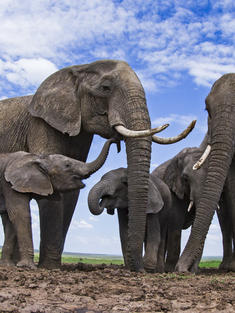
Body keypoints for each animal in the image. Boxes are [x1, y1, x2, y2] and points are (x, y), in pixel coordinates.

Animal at [0, 139, 116, 268]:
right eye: (67, 165)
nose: (115, 141)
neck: (39, 159)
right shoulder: (8, 184)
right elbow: (20, 214)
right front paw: (27, 267)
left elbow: (10, 219)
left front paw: (8, 266)